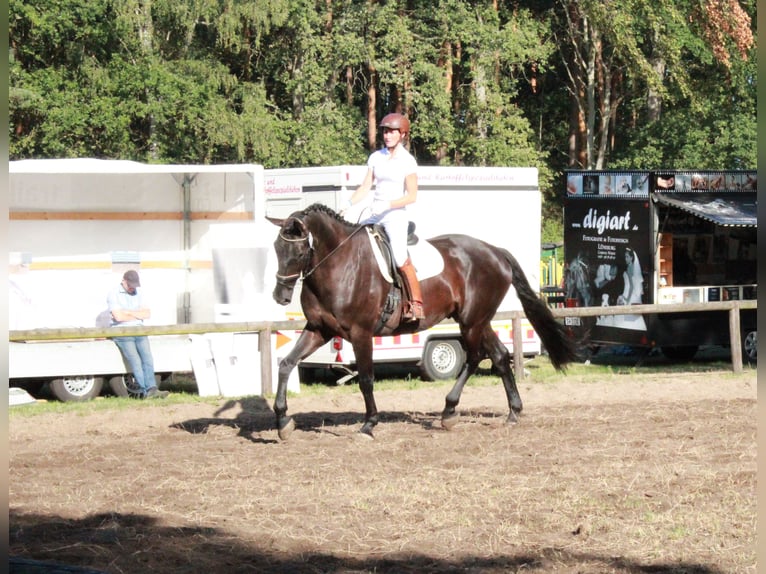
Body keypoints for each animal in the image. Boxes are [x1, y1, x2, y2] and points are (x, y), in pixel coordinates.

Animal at [268, 204, 580, 440]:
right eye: (276, 249)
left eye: (298, 253)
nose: (280, 296)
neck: (338, 264)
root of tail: (495, 251)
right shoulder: (319, 330)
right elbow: (286, 364)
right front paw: (283, 421)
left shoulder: (360, 333)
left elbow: (366, 379)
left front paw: (369, 424)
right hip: (478, 320)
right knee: (500, 356)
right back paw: (513, 411)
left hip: (471, 322)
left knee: (475, 356)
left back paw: (449, 411)